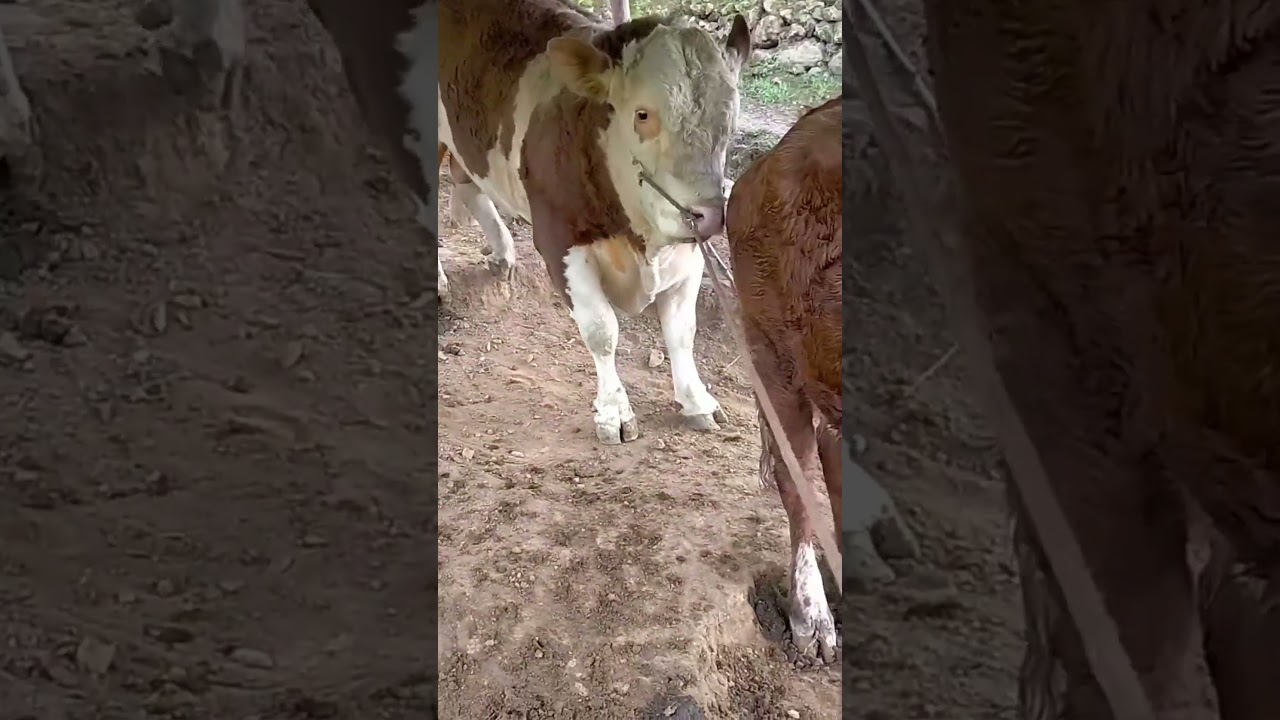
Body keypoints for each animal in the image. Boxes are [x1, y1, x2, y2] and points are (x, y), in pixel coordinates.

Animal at [436, 0, 748, 444]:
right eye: (642, 114)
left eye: (730, 120)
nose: (705, 215)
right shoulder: (560, 242)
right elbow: (602, 330)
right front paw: (614, 412)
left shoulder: (688, 253)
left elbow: (682, 331)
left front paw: (696, 400)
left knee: (467, 182)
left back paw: (502, 252)